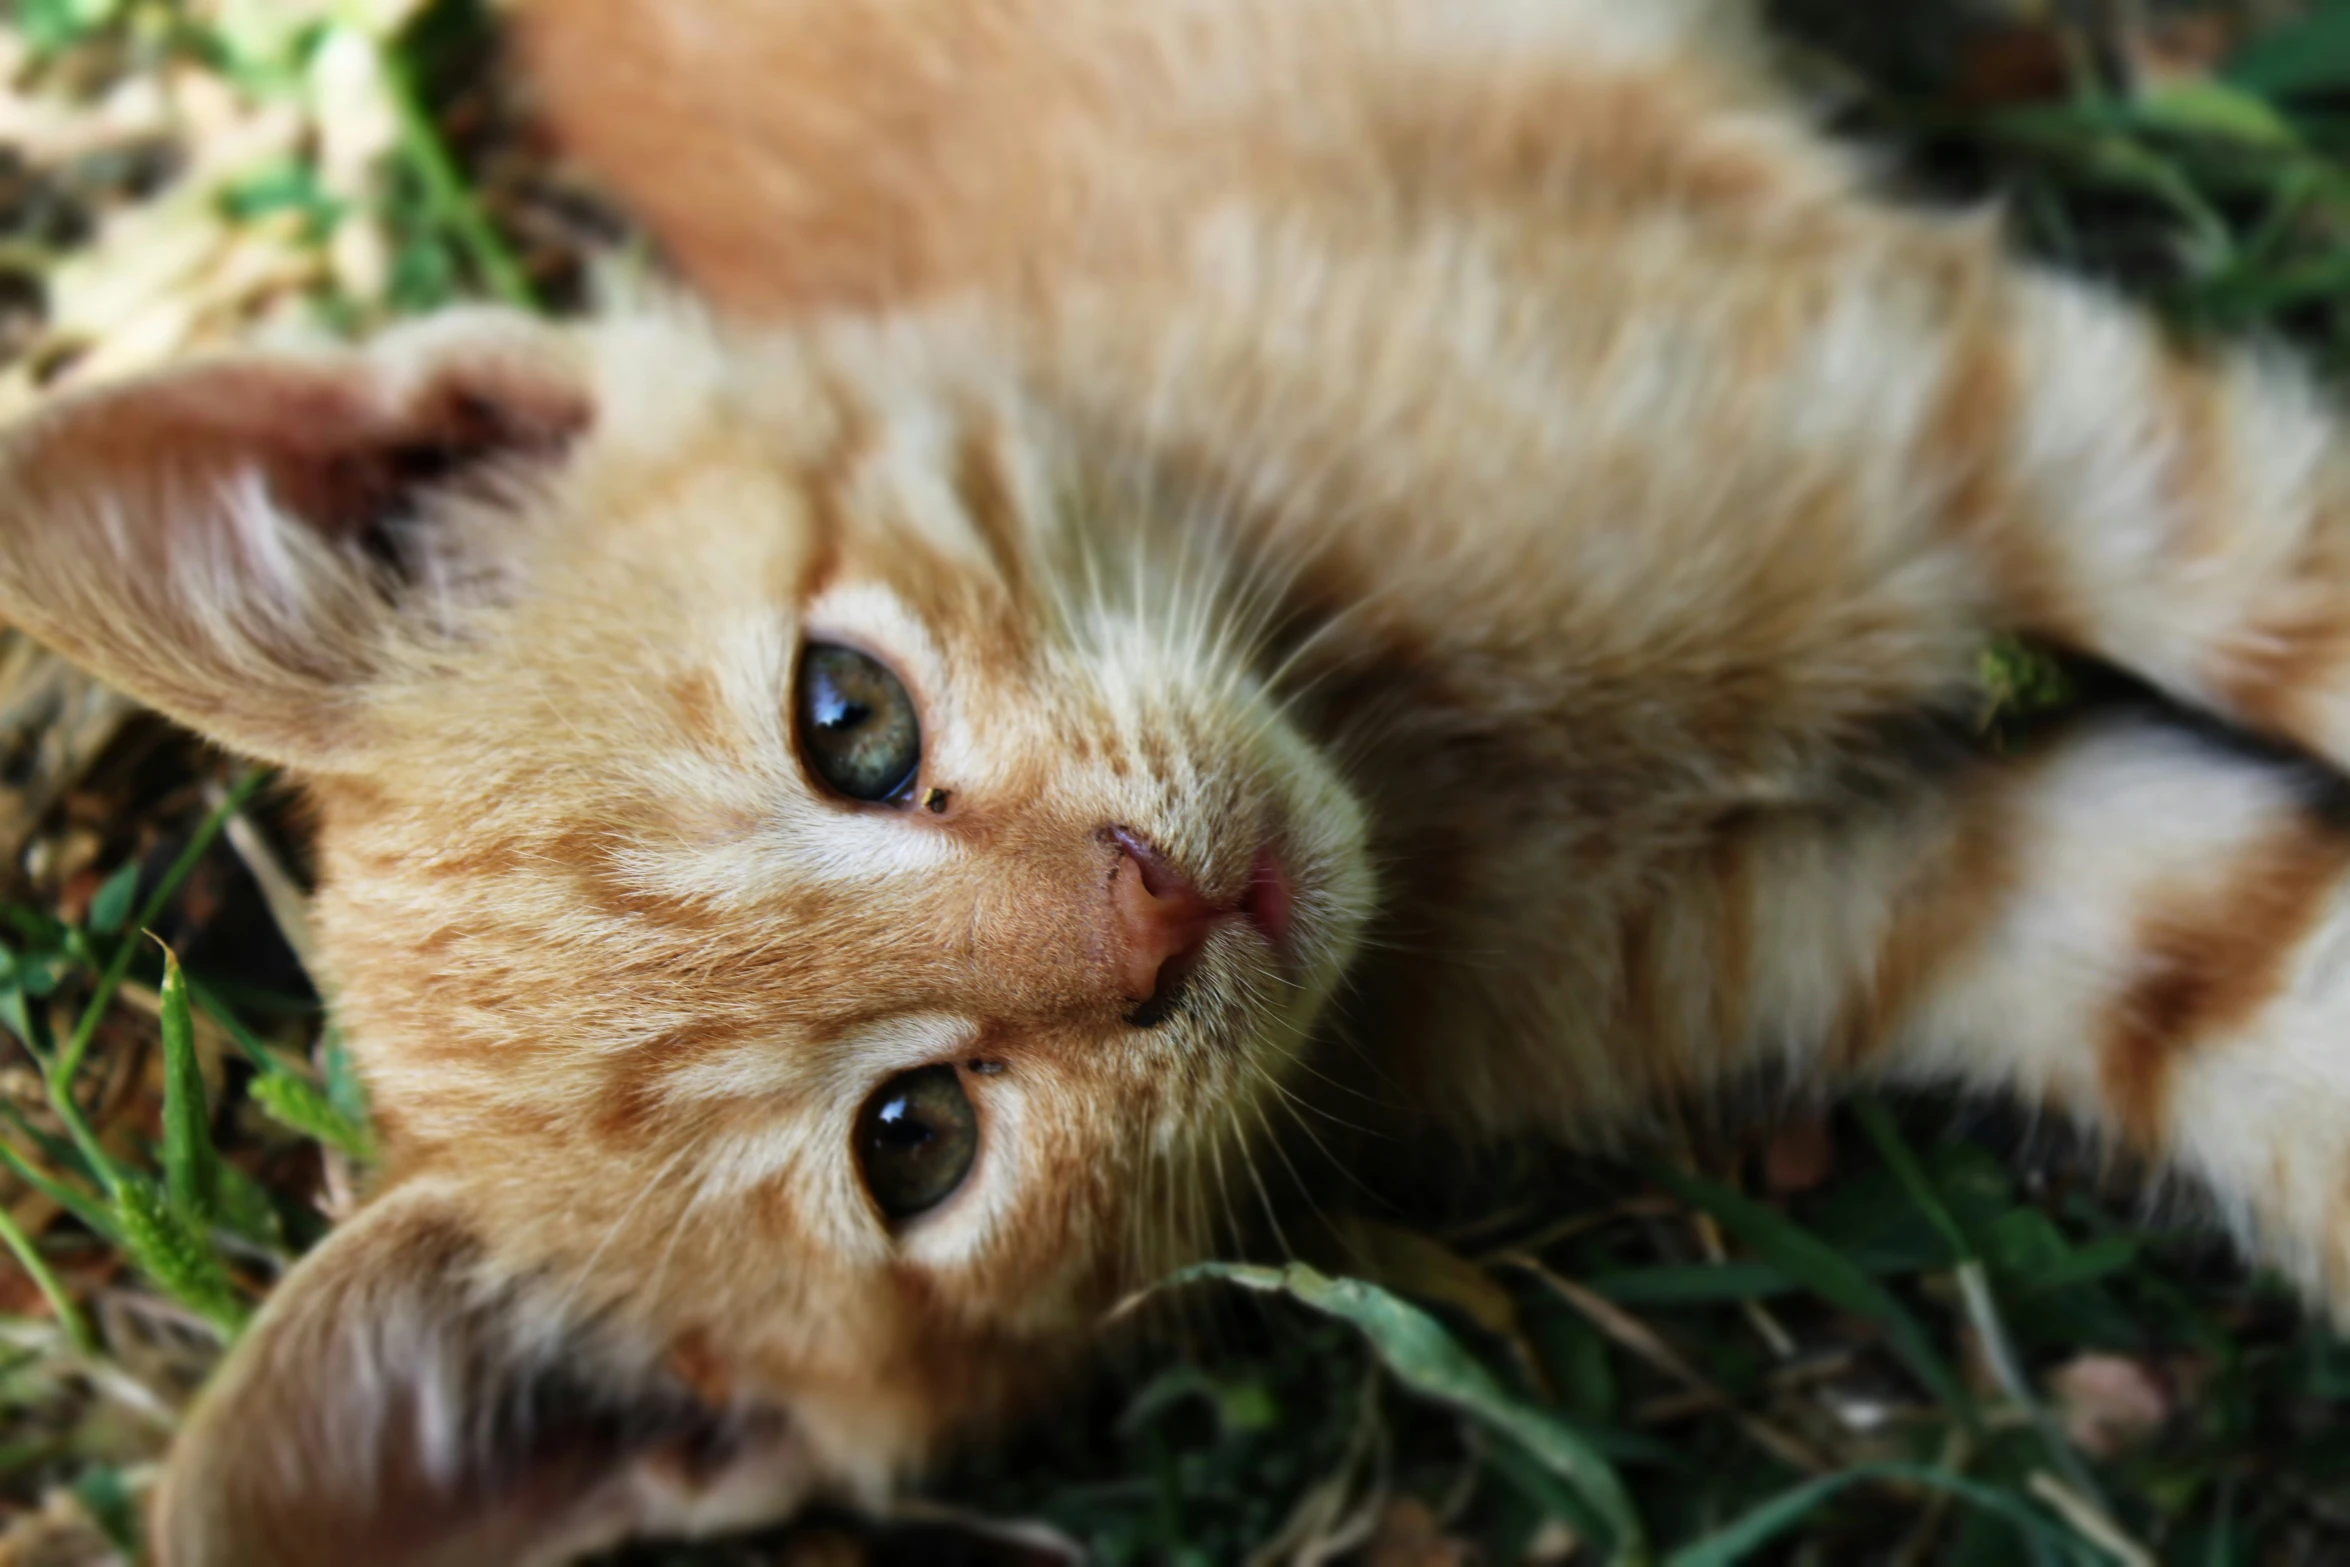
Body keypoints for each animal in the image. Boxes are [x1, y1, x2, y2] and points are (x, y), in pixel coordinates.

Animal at [4, 0, 2350, 1559]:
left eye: (847, 718)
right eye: (914, 1141)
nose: (1160, 906)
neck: (1438, 771)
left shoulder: (1978, 396)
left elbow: (2305, 599)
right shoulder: (1967, 893)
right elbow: (2275, 994)